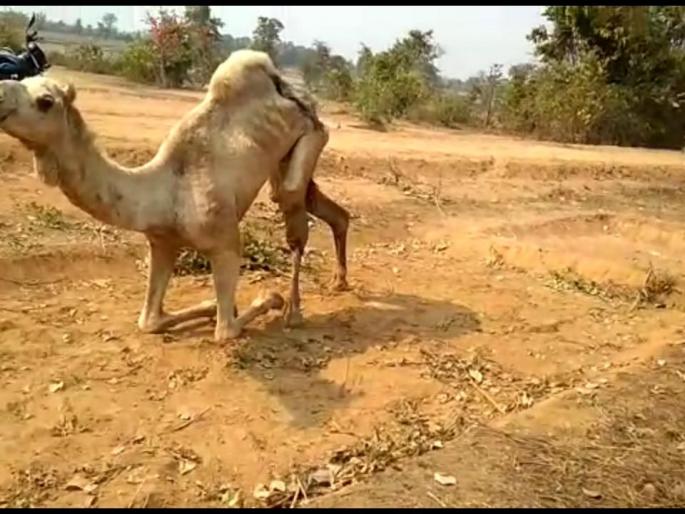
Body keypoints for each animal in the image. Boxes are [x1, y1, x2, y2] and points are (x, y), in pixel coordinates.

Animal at [0, 49, 350, 343]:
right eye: (25, 81)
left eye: (45, 100)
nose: (0, 94)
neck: (163, 193)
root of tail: (288, 88)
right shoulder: (162, 241)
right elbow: (149, 321)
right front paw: (210, 306)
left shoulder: (224, 241)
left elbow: (225, 331)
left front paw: (269, 298)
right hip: (285, 154)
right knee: (318, 204)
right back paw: (339, 281)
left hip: (314, 132)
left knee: (292, 205)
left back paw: (294, 311)